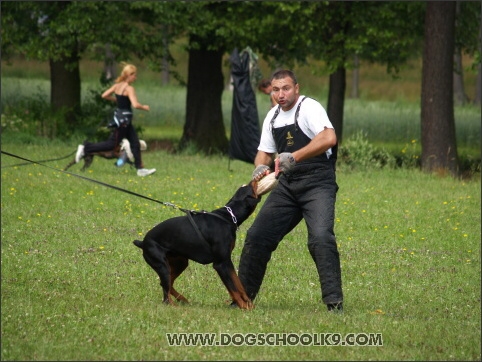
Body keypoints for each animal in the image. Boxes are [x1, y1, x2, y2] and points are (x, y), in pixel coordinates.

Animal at [134, 180, 262, 310]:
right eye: (251, 186)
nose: (254, 180)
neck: (228, 217)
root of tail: (143, 242)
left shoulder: (226, 261)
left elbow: (239, 286)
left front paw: (249, 305)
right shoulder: (221, 263)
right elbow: (233, 289)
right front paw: (245, 307)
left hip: (180, 263)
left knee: (168, 284)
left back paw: (183, 299)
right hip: (162, 265)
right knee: (165, 295)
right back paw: (174, 305)